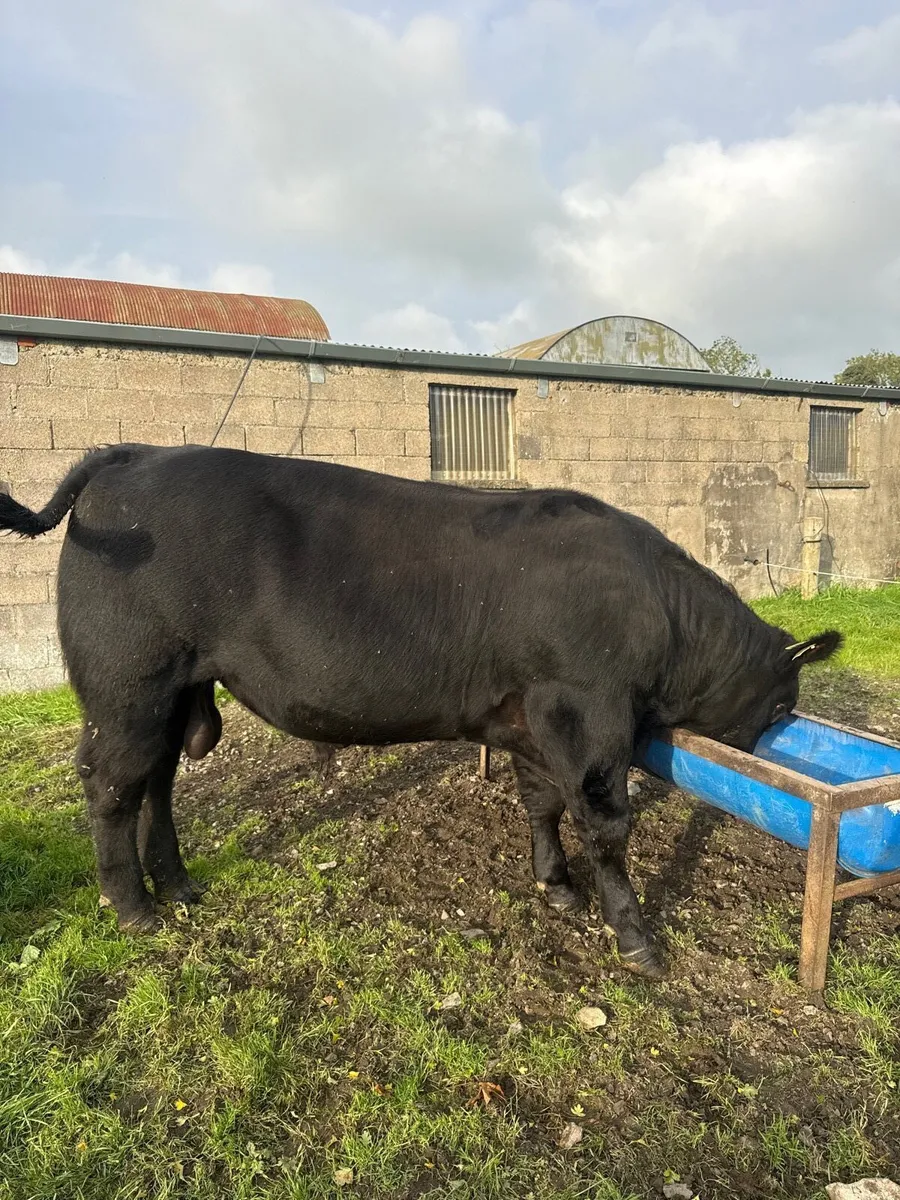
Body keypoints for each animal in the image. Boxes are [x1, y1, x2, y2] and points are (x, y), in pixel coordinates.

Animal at [0, 444, 841, 979]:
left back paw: (177, 885)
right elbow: (606, 827)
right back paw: (132, 906)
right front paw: (635, 937)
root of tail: (133, 453)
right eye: (784, 700)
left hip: (170, 694)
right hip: (126, 687)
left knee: (158, 784)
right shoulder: (588, 713)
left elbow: (540, 803)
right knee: (113, 785)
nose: (769, 744)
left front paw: (555, 885)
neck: (654, 604)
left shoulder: (529, 719)